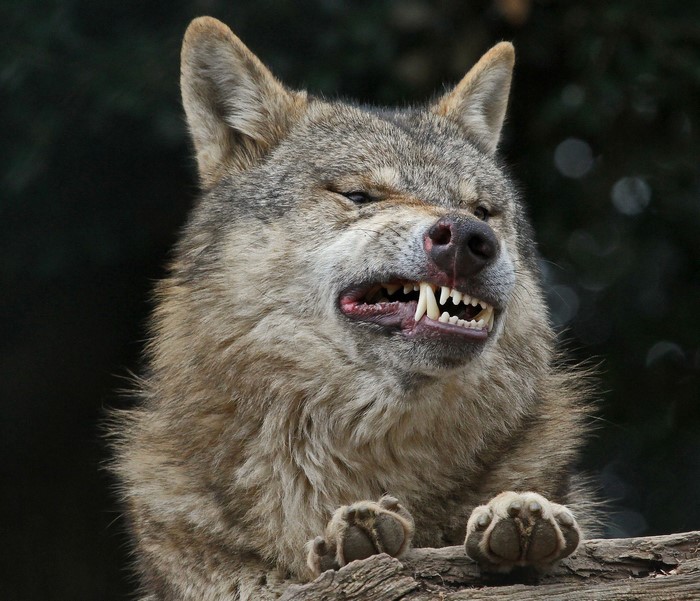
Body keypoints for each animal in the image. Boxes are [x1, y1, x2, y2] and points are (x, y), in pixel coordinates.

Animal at [112, 16, 597, 600]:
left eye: (482, 210)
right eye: (361, 196)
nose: (468, 238)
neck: (365, 453)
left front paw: (515, 515)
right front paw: (354, 537)